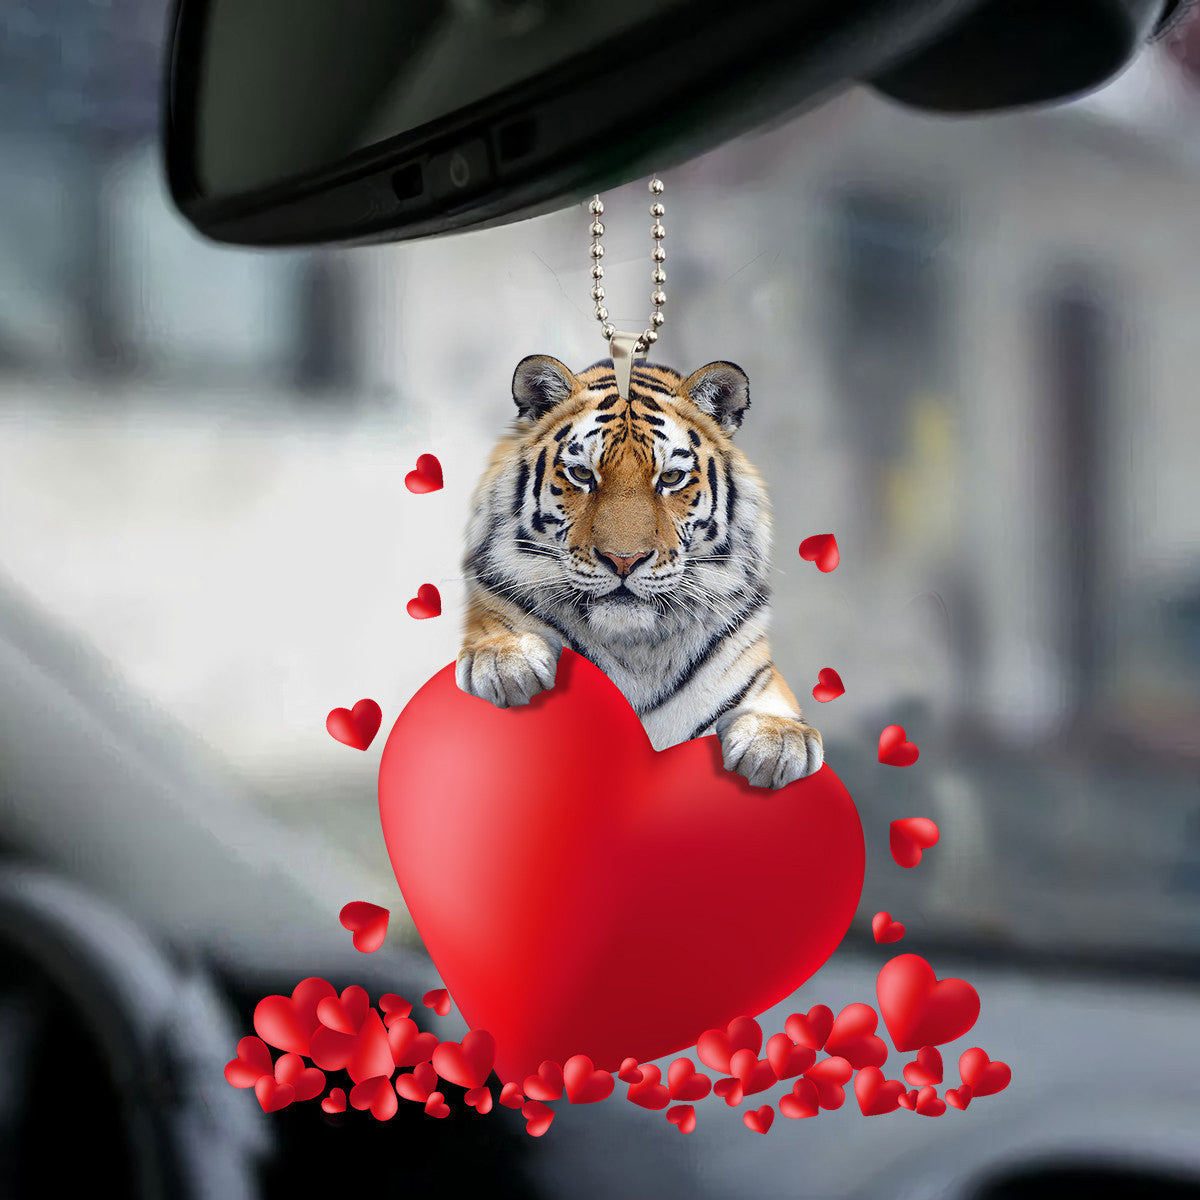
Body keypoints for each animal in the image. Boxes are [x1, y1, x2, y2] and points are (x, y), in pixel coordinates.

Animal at [455, 353, 823, 789]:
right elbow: (499, 626)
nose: (624, 560)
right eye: (582, 474)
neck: (635, 651)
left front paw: (776, 741)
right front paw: (505, 660)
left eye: (671, 478)